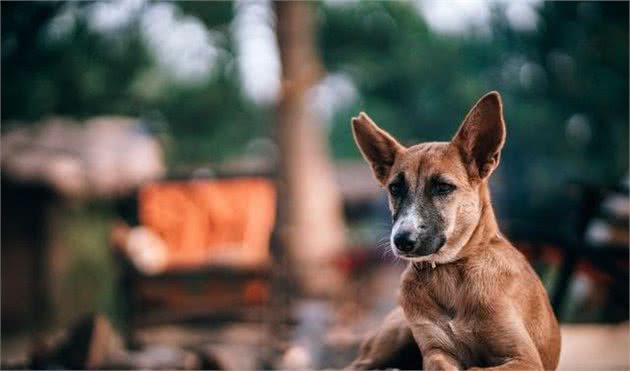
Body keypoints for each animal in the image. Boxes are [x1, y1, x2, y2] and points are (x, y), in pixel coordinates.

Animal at [350, 91, 564, 370]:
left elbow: (475, 367)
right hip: (398, 333)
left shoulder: (524, 358)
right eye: (395, 188)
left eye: (443, 187)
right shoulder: (435, 351)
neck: (449, 273)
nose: (402, 240)